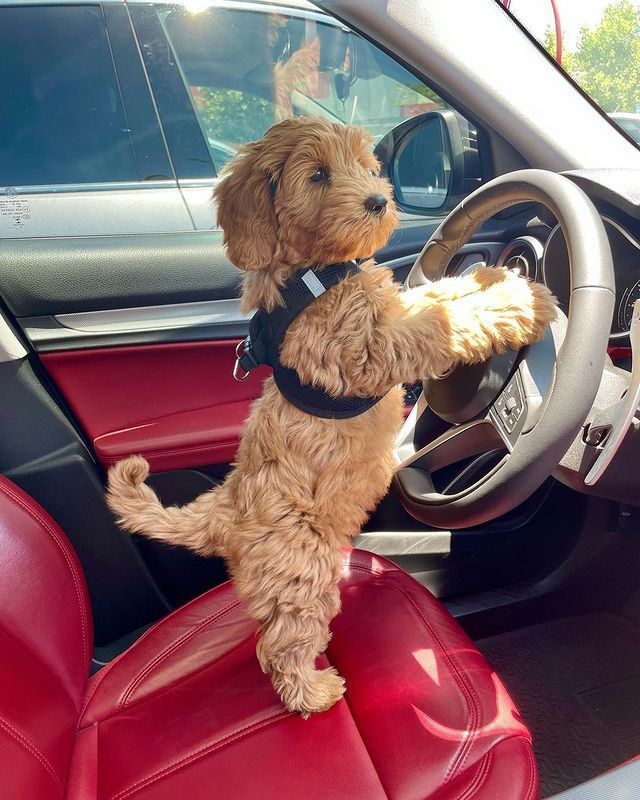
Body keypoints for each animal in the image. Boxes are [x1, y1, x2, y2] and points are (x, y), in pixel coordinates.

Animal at [107, 119, 556, 720]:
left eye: (367, 165)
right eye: (318, 175)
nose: (378, 201)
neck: (315, 272)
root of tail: (223, 512)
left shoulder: (393, 310)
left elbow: (439, 295)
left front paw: (492, 275)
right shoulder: (369, 348)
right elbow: (441, 323)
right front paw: (522, 299)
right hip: (300, 571)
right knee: (280, 643)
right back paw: (314, 690)